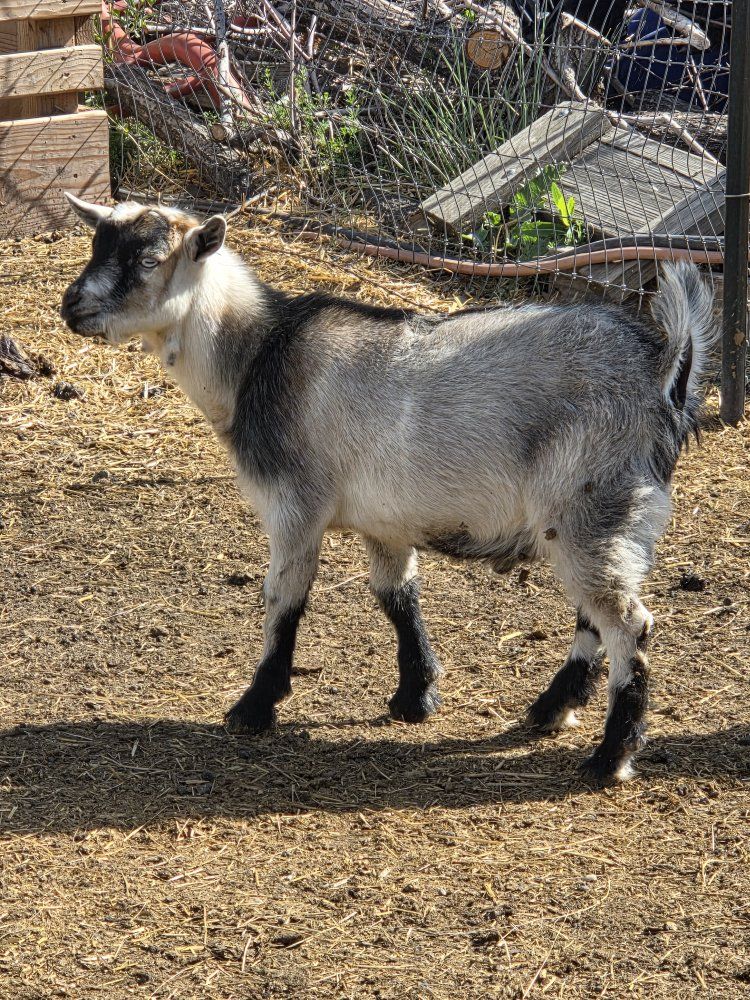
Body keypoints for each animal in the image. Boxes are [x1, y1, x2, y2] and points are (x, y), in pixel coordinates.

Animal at [60, 194, 715, 783]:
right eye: (97, 244)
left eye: (149, 260)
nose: (72, 304)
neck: (257, 356)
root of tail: (662, 368)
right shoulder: (384, 521)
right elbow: (395, 595)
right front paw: (416, 696)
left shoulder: (294, 506)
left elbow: (284, 598)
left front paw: (254, 705)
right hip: (597, 518)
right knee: (594, 616)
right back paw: (552, 709)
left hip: (589, 506)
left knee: (627, 625)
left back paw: (610, 757)